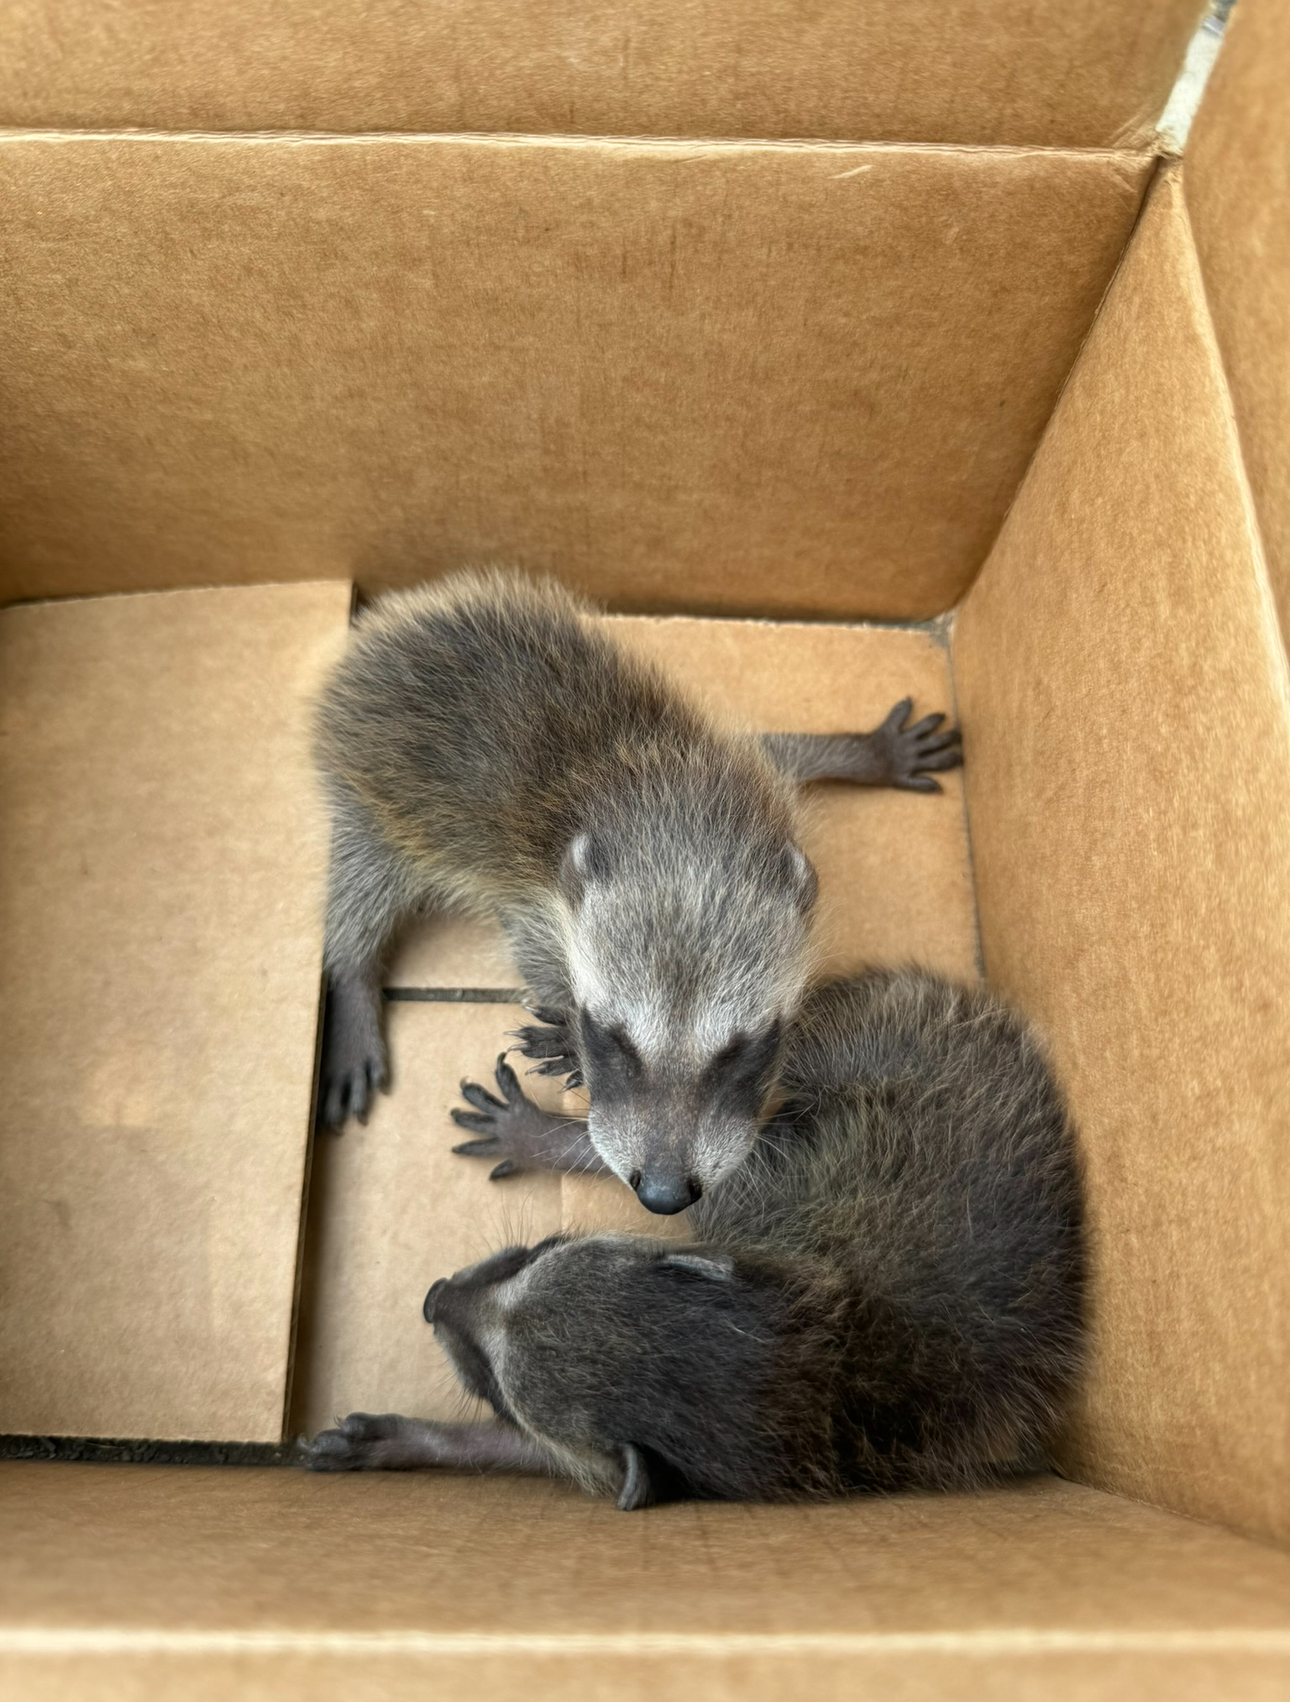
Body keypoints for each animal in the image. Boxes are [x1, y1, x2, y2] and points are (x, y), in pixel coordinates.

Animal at [307, 969, 1085, 1507]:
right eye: (541, 1253)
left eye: (497, 1387)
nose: (434, 1298)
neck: (818, 1376)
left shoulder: (766, 1205)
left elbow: (680, 1181)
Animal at [314, 571, 960, 1214]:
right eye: (614, 1038)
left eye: (740, 1048)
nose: (664, 1194)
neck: (679, 827)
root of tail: (389, 626)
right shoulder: (537, 891)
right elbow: (530, 947)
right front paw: (563, 1028)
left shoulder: (738, 772)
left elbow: (784, 748)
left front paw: (863, 751)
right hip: (368, 799)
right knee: (360, 889)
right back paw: (353, 974)